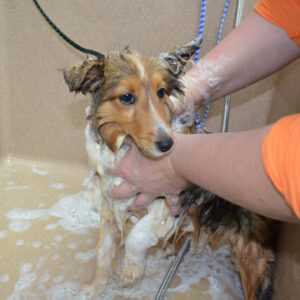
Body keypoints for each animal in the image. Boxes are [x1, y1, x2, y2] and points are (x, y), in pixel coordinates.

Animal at [62, 38, 274, 300]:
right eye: (126, 97)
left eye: (161, 92)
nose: (168, 144)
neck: (125, 147)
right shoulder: (109, 205)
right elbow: (103, 254)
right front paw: (93, 289)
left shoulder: (170, 202)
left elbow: (137, 235)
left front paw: (131, 269)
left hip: (252, 261)